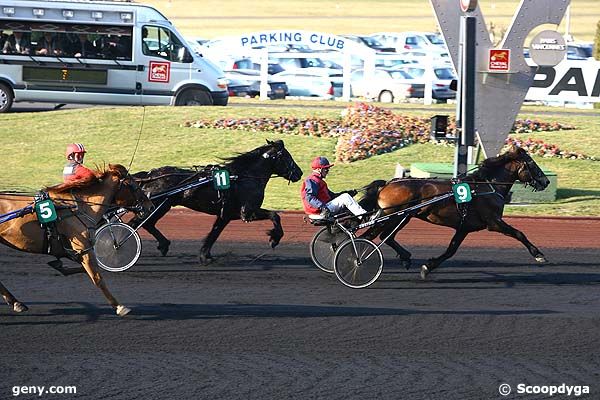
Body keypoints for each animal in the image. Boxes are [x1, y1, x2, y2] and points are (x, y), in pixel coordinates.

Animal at [0, 164, 152, 318]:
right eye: (134, 185)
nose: (150, 206)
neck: (78, 207)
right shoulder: (83, 247)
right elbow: (97, 277)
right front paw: (119, 306)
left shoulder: (79, 250)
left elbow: (82, 269)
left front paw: (60, 266)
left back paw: (16, 302)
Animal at [130, 139, 300, 264]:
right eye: (287, 156)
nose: (299, 172)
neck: (243, 177)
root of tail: (149, 175)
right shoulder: (247, 212)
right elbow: (275, 215)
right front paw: (274, 238)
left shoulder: (225, 215)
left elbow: (214, 233)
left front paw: (205, 256)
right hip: (158, 206)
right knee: (136, 223)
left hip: (161, 206)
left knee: (147, 224)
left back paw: (164, 245)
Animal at [358, 145, 552, 280]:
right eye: (532, 163)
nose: (546, 181)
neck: (487, 186)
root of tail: (387, 184)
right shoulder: (494, 222)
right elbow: (519, 233)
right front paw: (539, 255)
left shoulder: (464, 227)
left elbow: (451, 249)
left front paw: (428, 267)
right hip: (394, 216)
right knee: (373, 236)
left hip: (402, 217)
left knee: (385, 236)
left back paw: (404, 257)